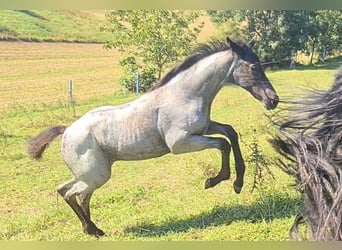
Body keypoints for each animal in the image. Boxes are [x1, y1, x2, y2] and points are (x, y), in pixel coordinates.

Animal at [26, 36, 278, 236]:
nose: (273, 100)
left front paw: (238, 182)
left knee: (69, 192)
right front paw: (217, 181)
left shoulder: (203, 129)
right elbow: (223, 144)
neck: (184, 95)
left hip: (89, 174)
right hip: (95, 174)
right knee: (71, 193)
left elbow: (230, 132)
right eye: (253, 67)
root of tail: (67, 130)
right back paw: (92, 230)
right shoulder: (181, 143)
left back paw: (94, 230)